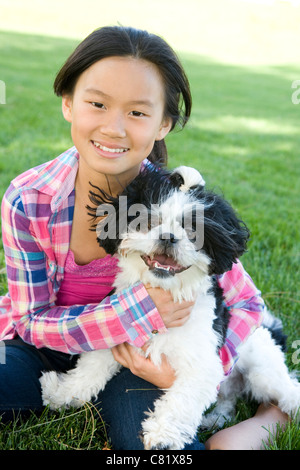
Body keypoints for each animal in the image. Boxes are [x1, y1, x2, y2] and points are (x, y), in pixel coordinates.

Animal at [40, 163, 300, 450]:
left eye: (193, 231)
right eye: (147, 222)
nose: (168, 237)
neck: (166, 293)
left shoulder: (202, 365)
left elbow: (182, 401)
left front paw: (162, 435)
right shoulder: (119, 334)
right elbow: (89, 369)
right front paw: (61, 393)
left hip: (262, 370)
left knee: (288, 391)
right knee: (227, 400)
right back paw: (215, 419)